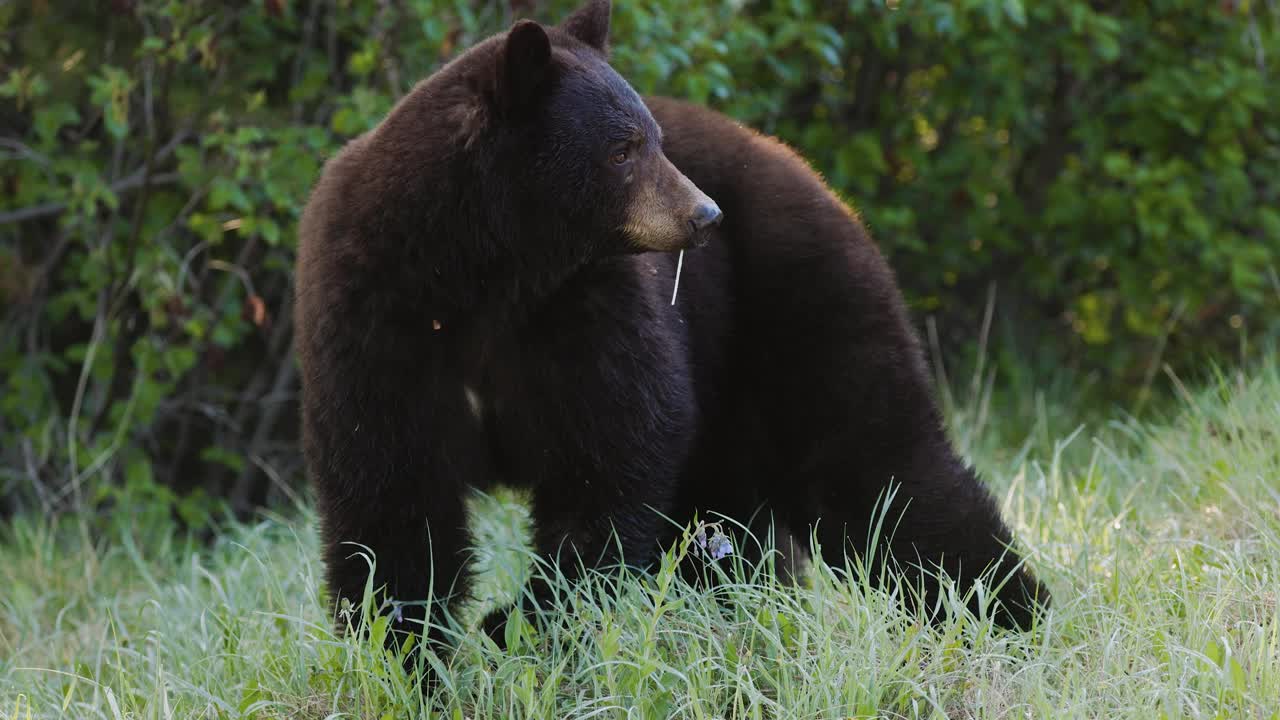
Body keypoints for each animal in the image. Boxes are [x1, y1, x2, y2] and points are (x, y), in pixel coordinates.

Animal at [293, 0, 1049, 661]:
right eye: (622, 150)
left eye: (653, 137)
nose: (705, 215)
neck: (487, 275)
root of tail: (801, 169)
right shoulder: (375, 321)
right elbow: (390, 490)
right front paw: (407, 650)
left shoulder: (593, 307)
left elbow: (612, 451)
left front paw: (526, 621)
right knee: (739, 516)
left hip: (793, 293)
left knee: (879, 458)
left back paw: (1008, 614)